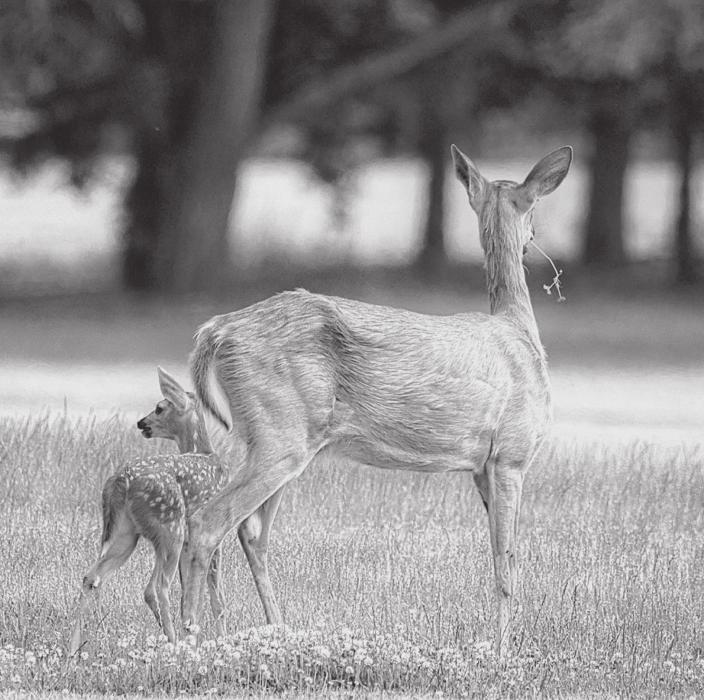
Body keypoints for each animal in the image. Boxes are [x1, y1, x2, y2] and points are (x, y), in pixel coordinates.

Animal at [69, 367, 285, 655]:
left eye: (159, 407)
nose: (140, 423)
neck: (204, 451)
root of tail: (121, 481)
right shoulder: (211, 535)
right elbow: (217, 597)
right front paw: (221, 640)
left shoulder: (189, 543)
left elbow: (188, 596)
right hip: (169, 526)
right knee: (157, 588)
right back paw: (172, 644)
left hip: (129, 534)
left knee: (93, 577)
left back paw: (73, 648)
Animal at [177, 145, 573, 657]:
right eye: (535, 211)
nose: (532, 242)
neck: (519, 330)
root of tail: (215, 330)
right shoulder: (511, 454)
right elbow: (505, 562)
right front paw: (503, 651)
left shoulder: (481, 467)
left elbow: (501, 554)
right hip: (280, 431)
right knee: (209, 522)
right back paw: (188, 636)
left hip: (271, 437)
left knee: (251, 531)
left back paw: (274, 632)